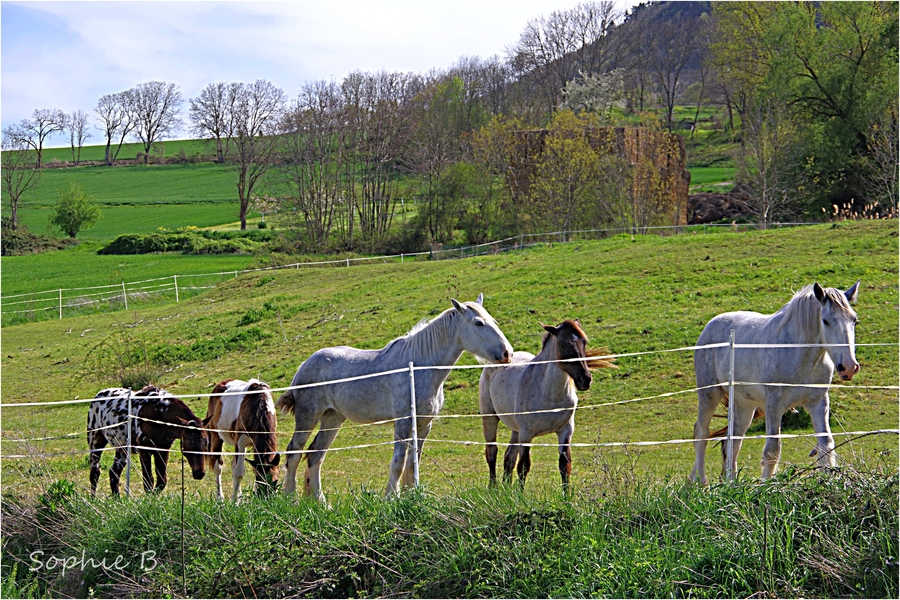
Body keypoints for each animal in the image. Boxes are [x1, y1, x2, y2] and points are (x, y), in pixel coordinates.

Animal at [274, 292, 512, 500]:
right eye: (478, 323)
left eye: (493, 321)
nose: (507, 353)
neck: (418, 368)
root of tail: (304, 365)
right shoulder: (403, 422)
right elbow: (398, 461)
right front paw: (391, 498)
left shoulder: (424, 424)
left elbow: (413, 463)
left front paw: (410, 496)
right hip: (308, 416)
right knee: (294, 452)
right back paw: (290, 498)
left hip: (332, 418)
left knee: (315, 456)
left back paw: (320, 502)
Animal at [478, 322, 612, 490]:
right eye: (563, 344)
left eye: (584, 342)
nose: (585, 380)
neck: (550, 395)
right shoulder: (527, 433)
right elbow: (523, 466)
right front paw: (520, 495)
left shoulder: (565, 431)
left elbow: (564, 466)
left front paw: (567, 496)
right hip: (491, 418)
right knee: (492, 452)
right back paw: (493, 488)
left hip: (516, 429)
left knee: (509, 456)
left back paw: (506, 489)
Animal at [692, 280, 860, 482]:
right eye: (825, 321)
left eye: (854, 320)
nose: (848, 367)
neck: (798, 355)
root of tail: (709, 326)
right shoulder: (774, 405)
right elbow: (772, 450)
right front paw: (767, 484)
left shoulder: (818, 403)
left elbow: (826, 444)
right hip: (709, 394)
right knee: (701, 433)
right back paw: (700, 482)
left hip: (744, 405)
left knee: (733, 441)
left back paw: (731, 483)